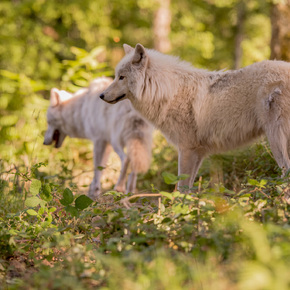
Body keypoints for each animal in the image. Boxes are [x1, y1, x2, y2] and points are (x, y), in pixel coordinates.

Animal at [100, 43, 290, 190]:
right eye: (116, 76)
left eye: (121, 77)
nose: (101, 95)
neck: (167, 92)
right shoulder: (198, 152)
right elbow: (189, 188)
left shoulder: (186, 149)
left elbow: (181, 188)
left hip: (275, 137)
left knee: (286, 170)